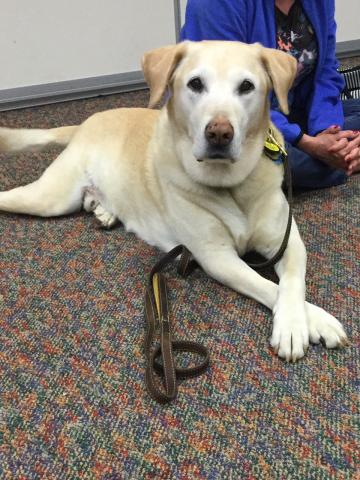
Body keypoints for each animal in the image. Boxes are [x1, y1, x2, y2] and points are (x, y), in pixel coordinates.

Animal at [0, 42, 348, 360]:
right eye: (195, 84)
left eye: (247, 86)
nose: (219, 132)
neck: (231, 186)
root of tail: (88, 121)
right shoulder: (216, 257)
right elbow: (267, 286)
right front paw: (307, 322)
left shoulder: (287, 242)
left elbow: (291, 283)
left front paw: (299, 321)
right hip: (50, 198)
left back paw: (105, 211)